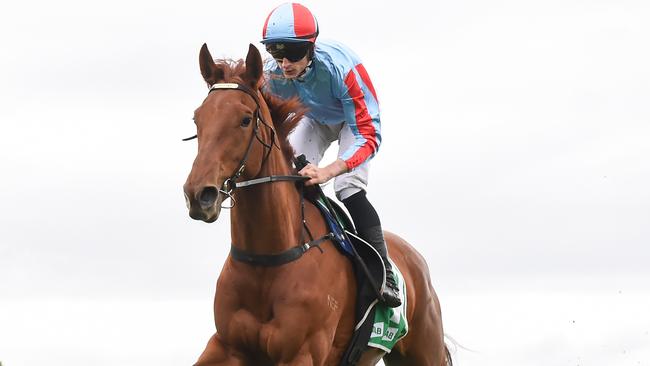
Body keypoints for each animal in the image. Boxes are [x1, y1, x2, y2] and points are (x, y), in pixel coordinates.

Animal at [180, 43, 448, 366]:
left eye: (245, 120)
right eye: (197, 119)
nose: (199, 194)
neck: (267, 259)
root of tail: (415, 257)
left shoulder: (302, 352)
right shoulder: (225, 346)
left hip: (425, 350)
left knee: (350, 185)